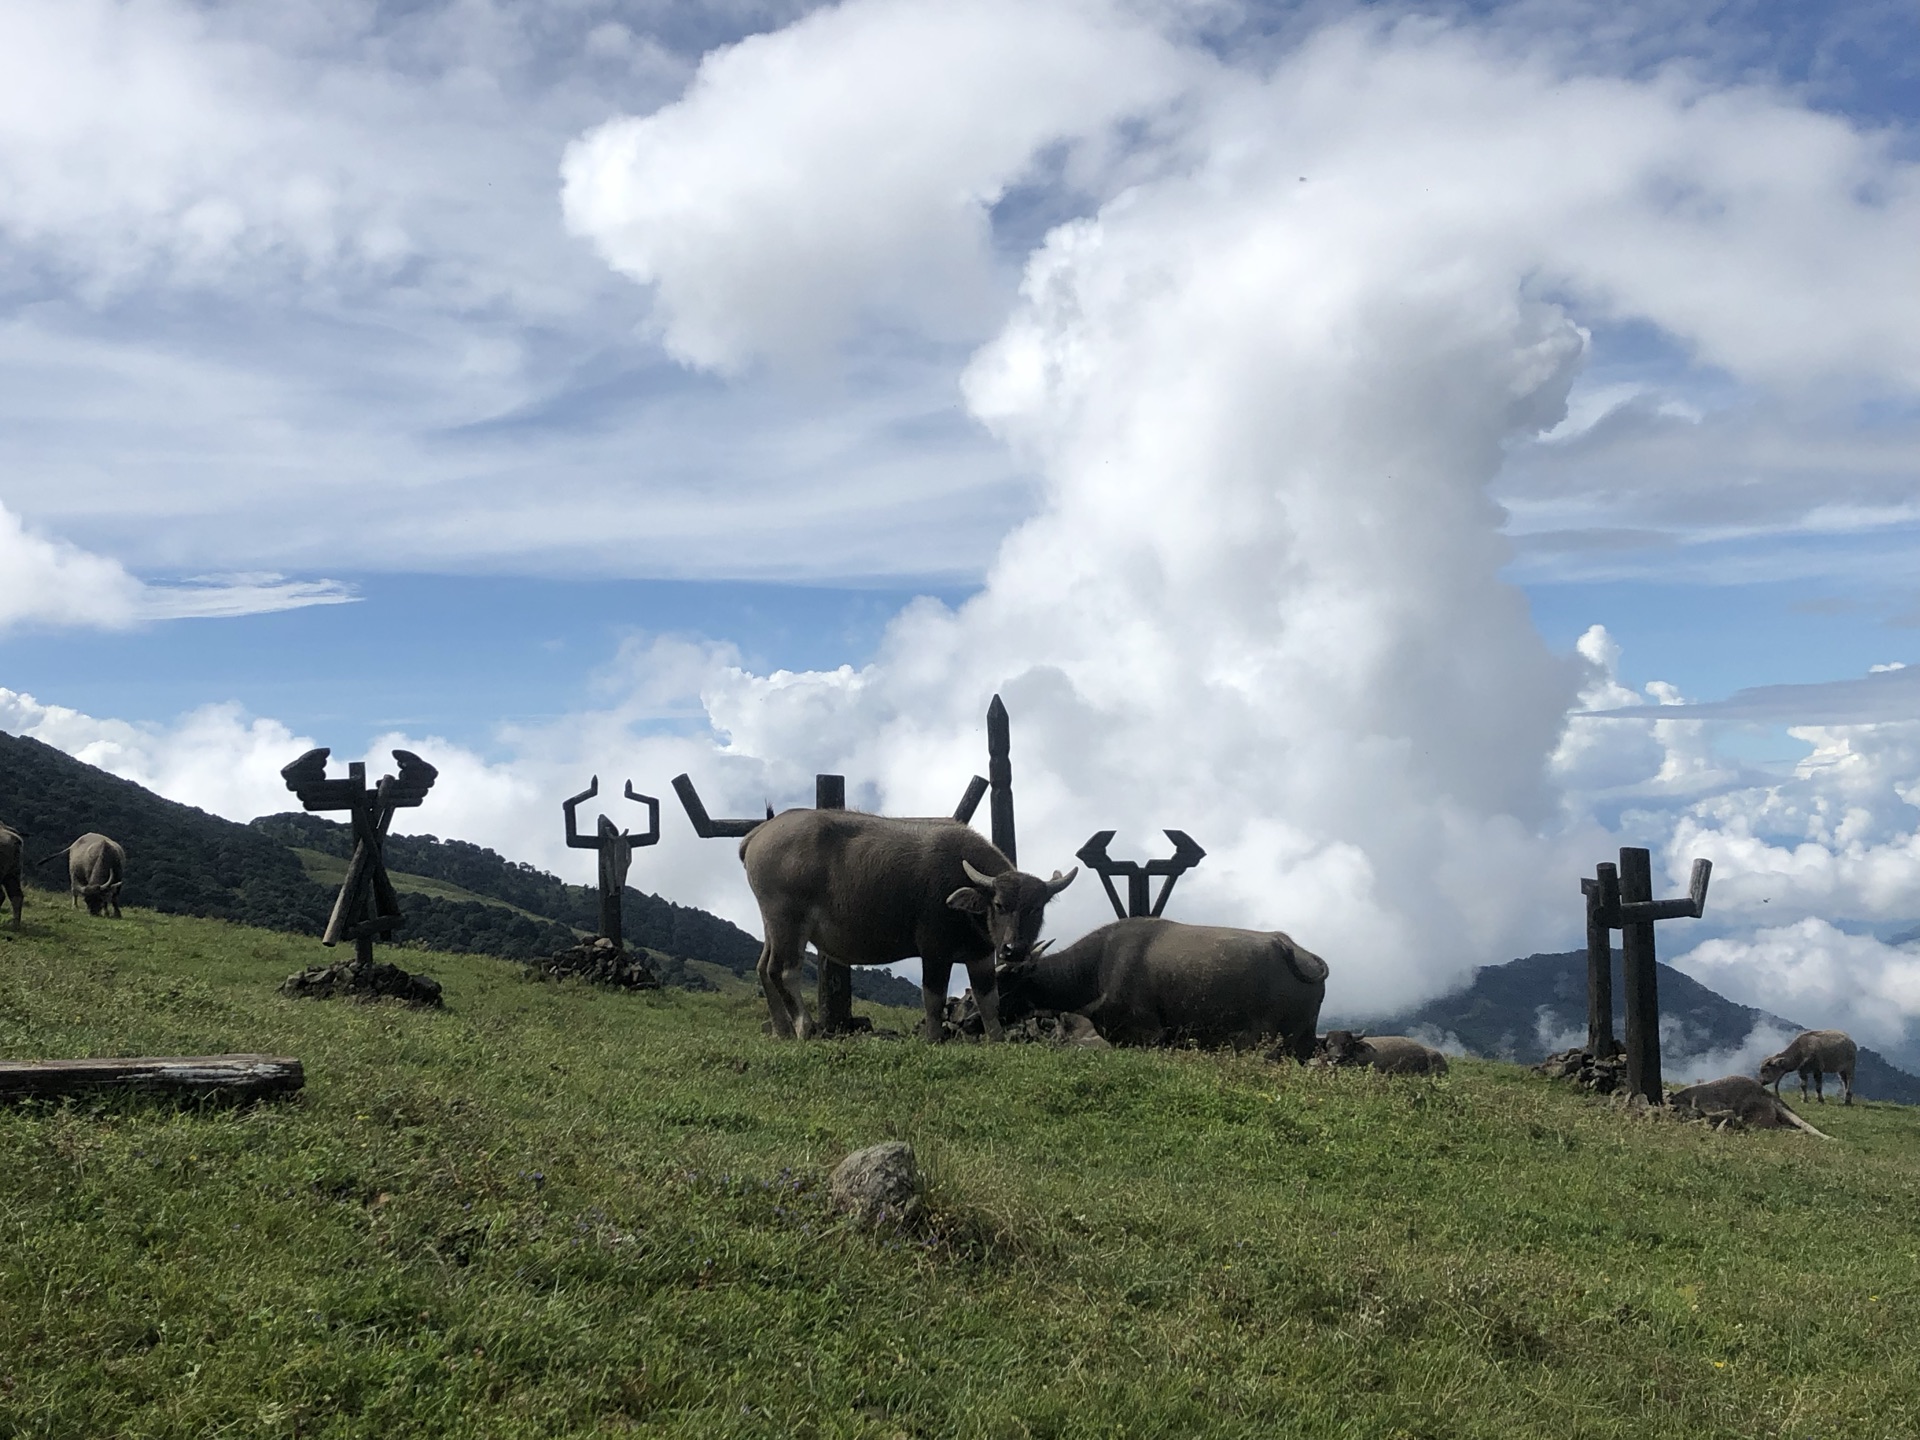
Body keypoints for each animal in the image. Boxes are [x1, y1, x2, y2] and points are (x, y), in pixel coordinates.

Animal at [741, 806, 1082, 1044]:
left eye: (1036, 908)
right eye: (999, 905)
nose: (1013, 949)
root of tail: (760, 833)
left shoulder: (981, 955)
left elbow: (988, 1000)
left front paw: (997, 1038)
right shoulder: (934, 951)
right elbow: (933, 998)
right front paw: (933, 1038)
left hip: (772, 926)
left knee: (763, 968)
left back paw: (782, 1030)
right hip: (788, 921)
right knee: (783, 971)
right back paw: (805, 1027)